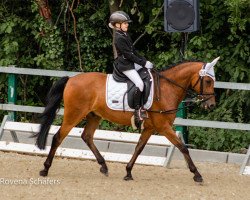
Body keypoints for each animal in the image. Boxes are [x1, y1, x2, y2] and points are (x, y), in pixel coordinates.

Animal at [34, 56, 219, 183]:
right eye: (208, 81)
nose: (211, 105)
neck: (167, 88)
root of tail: (71, 79)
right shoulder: (163, 126)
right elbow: (183, 147)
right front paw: (197, 174)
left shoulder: (150, 127)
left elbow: (139, 148)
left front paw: (128, 172)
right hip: (73, 115)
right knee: (58, 137)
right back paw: (45, 169)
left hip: (94, 116)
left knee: (87, 136)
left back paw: (104, 166)